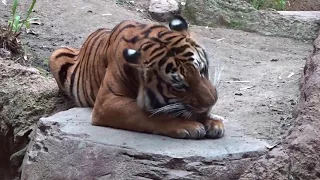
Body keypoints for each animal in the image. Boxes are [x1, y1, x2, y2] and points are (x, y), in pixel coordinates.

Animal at [49, 15, 225, 139]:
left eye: (202, 70)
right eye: (179, 87)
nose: (212, 102)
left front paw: (213, 122)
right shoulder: (107, 101)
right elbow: (150, 114)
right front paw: (189, 126)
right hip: (56, 55)